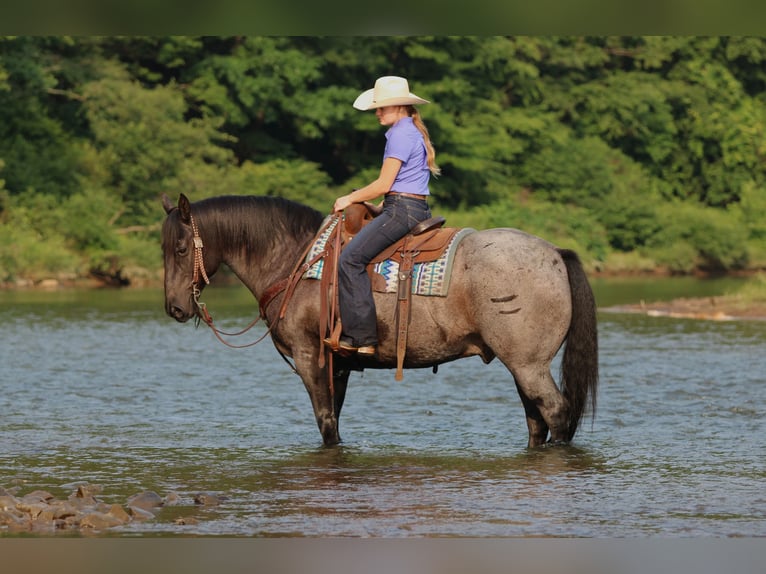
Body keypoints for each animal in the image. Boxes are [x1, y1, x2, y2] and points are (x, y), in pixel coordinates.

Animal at [161, 193, 598, 449]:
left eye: (181, 248)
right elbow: (334, 421)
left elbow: (325, 424)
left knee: (556, 414)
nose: (175, 307)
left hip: (529, 365)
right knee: (536, 421)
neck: (296, 260)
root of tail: (555, 253)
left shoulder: (310, 357)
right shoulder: (337, 364)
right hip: (523, 364)